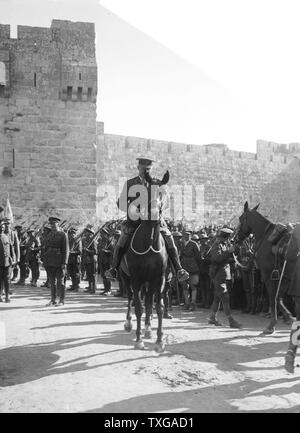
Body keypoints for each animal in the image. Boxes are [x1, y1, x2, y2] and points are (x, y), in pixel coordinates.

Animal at [122, 170, 169, 350]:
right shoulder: (136, 279)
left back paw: (148, 328)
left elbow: (158, 307)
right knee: (130, 298)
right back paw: (129, 323)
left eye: (163, 192)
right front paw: (138, 339)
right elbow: (138, 308)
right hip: (125, 277)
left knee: (149, 301)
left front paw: (159, 340)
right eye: (147, 191)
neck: (149, 242)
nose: (155, 214)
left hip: (149, 282)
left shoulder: (159, 278)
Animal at [237, 202, 292, 334]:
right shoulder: (284, 276)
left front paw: (272, 324)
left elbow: (273, 298)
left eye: (240, 218)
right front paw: (288, 317)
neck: (265, 236)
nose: (235, 238)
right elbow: (279, 298)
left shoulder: (268, 276)